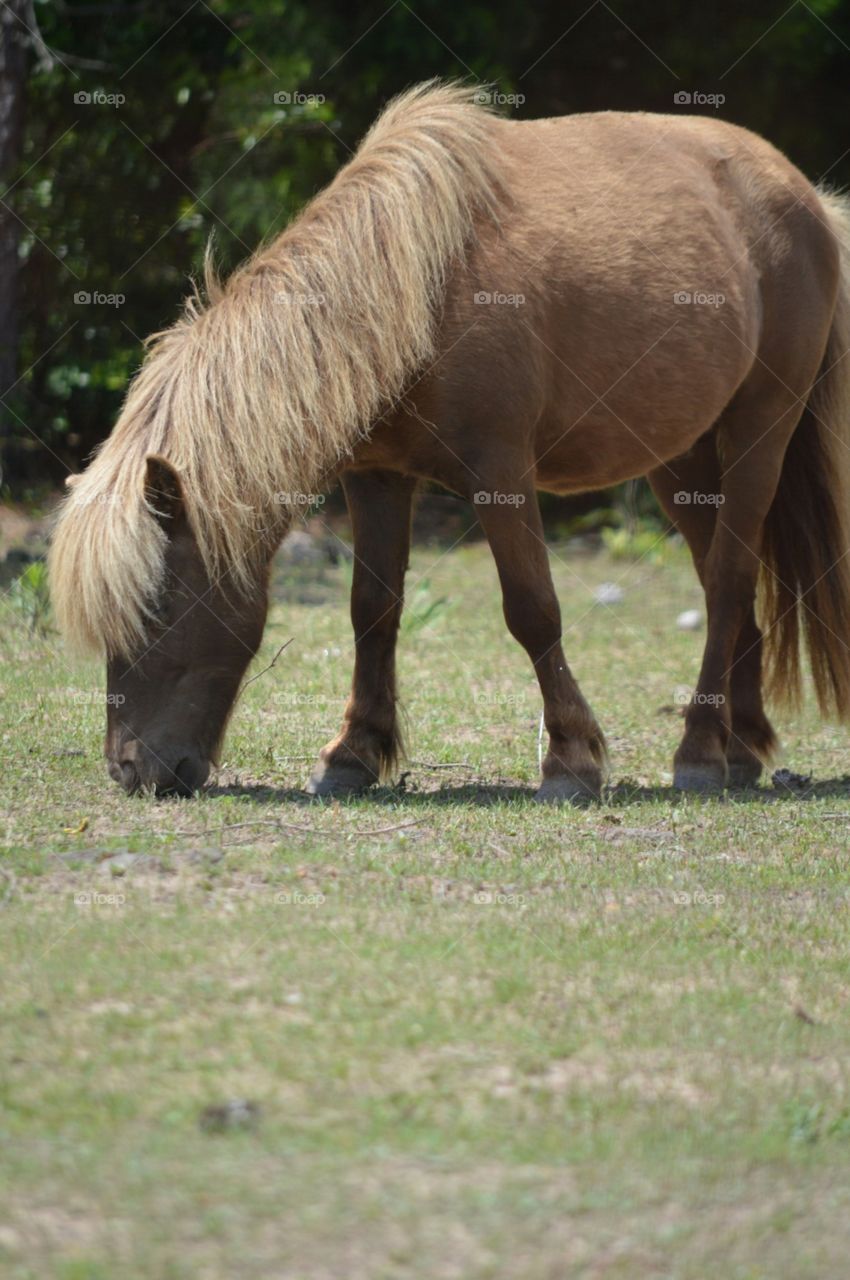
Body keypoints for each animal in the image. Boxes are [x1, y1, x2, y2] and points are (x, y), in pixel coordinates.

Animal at [48, 80, 850, 802]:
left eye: (157, 608)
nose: (131, 770)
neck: (412, 287)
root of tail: (806, 199)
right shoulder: (376, 477)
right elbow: (372, 609)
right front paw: (353, 757)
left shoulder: (500, 474)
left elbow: (533, 609)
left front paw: (571, 762)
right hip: (680, 460)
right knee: (725, 586)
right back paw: (740, 748)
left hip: (760, 430)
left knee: (730, 580)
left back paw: (700, 755)